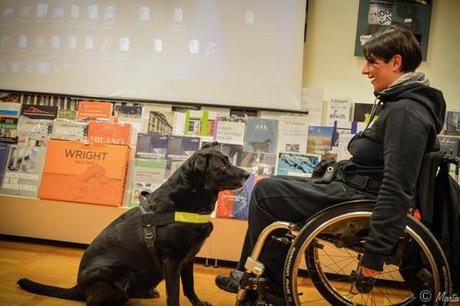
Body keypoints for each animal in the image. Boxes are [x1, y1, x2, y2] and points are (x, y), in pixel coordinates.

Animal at [17, 144, 248, 306]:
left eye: (228, 161)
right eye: (222, 166)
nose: (247, 175)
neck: (189, 199)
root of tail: (78, 287)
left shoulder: (188, 258)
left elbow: (189, 286)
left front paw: (198, 302)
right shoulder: (172, 260)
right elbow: (174, 293)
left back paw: (146, 292)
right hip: (117, 273)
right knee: (101, 301)